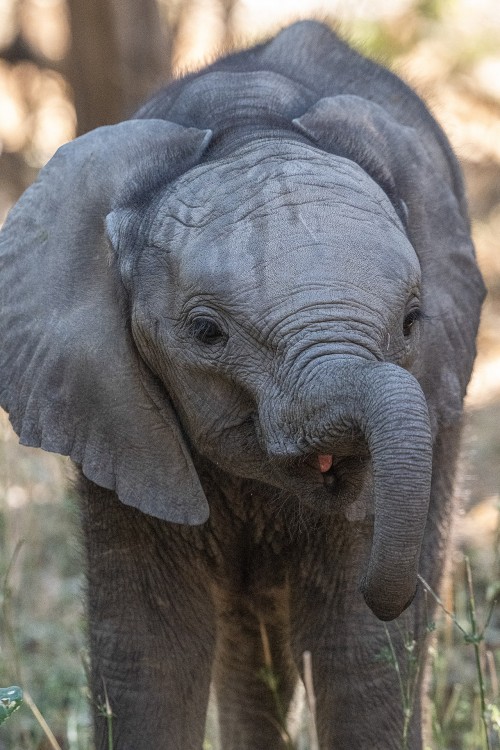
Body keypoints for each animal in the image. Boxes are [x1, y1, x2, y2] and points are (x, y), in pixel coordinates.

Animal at [0, 17, 484, 750]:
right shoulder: (112, 409)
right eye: (206, 332)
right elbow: (150, 655)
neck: (247, 120)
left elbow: (359, 657)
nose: (387, 588)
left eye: (411, 321)